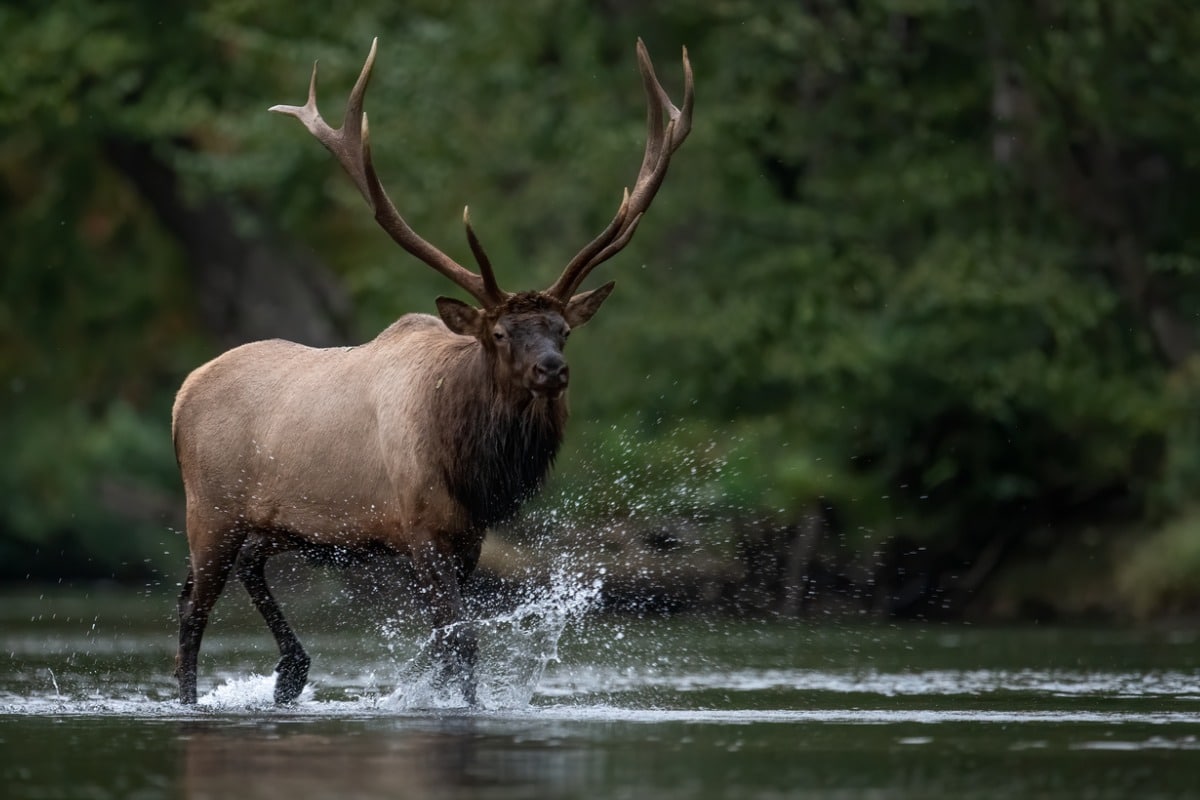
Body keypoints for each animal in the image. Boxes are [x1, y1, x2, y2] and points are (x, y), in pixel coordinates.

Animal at [171, 37, 693, 705]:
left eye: (562, 329)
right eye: (500, 333)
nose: (553, 370)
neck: (474, 467)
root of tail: (182, 393)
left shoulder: (467, 539)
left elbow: (444, 645)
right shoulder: (419, 529)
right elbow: (460, 643)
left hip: (272, 522)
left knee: (243, 569)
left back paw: (293, 670)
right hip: (211, 509)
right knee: (193, 608)